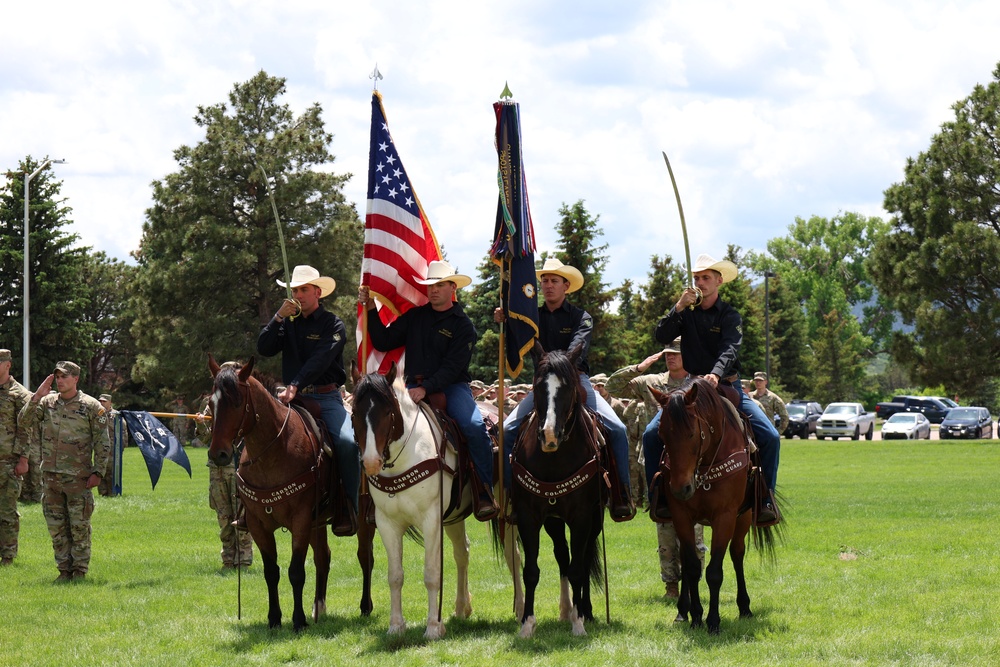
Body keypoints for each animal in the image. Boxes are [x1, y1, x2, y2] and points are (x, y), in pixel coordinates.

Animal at [207, 354, 376, 632]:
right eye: (211, 404)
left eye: (237, 401)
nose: (218, 454)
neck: (275, 450)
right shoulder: (258, 524)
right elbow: (271, 572)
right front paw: (274, 618)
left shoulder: (300, 520)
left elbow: (296, 571)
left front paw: (298, 620)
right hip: (318, 523)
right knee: (323, 558)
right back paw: (318, 607)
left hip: (363, 518)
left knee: (365, 557)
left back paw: (365, 606)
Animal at [352, 362, 524, 640]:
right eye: (355, 412)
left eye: (388, 412)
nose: (370, 462)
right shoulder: (387, 523)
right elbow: (395, 576)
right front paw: (396, 626)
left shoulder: (430, 519)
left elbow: (432, 573)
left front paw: (433, 626)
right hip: (454, 516)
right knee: (462, 552)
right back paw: (461, 607)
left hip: (505, 509)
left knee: (513, 554)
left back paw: (520, 609)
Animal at [512, 342, 604, 640]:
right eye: (537, 386)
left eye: (569, 387)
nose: (550, 435)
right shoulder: (529, 517)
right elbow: (531, 570)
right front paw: (527, 624)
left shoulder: (582, 518)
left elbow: (578, 569)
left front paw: (579, 623)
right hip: (554, 522)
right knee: (563, 556)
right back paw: (567, 610)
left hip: (595, 520)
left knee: (581, 562)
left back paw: (583, 611)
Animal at [648, 378, 780, 636]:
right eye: (661, 434)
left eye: (691, 433)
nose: (681, 489)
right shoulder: (681, 515)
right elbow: (691, 567)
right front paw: (696, 616)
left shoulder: (725, 516)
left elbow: (714, 572)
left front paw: (713, 622)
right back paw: (682, 611)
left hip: (744, 518)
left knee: (737, 554)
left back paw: (744, 607)